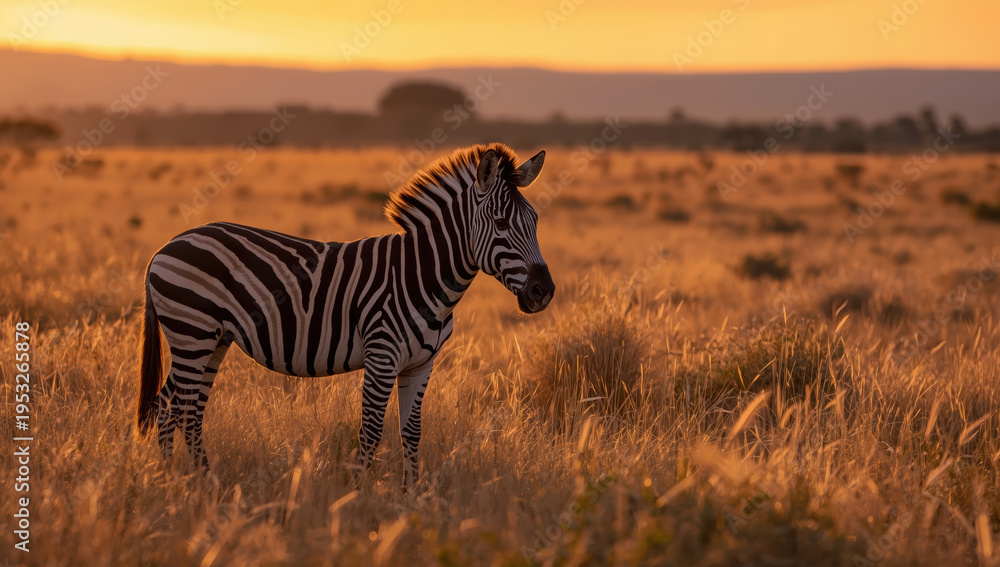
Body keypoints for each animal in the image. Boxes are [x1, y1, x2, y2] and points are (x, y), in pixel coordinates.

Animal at [135, 143, 555, 488]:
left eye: (535, 221)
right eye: (501, 224)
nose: (544, 292)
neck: (422, 276)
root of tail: (164, 247)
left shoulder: (422, 363)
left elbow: (412, 431)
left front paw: (411, 499)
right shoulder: (382, 355)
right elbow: (370, 430)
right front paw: (355, 498)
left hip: (212, 339)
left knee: (176, 406)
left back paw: (188, 482)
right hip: (193, 331)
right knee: (179, 408)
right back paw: (187, 486)